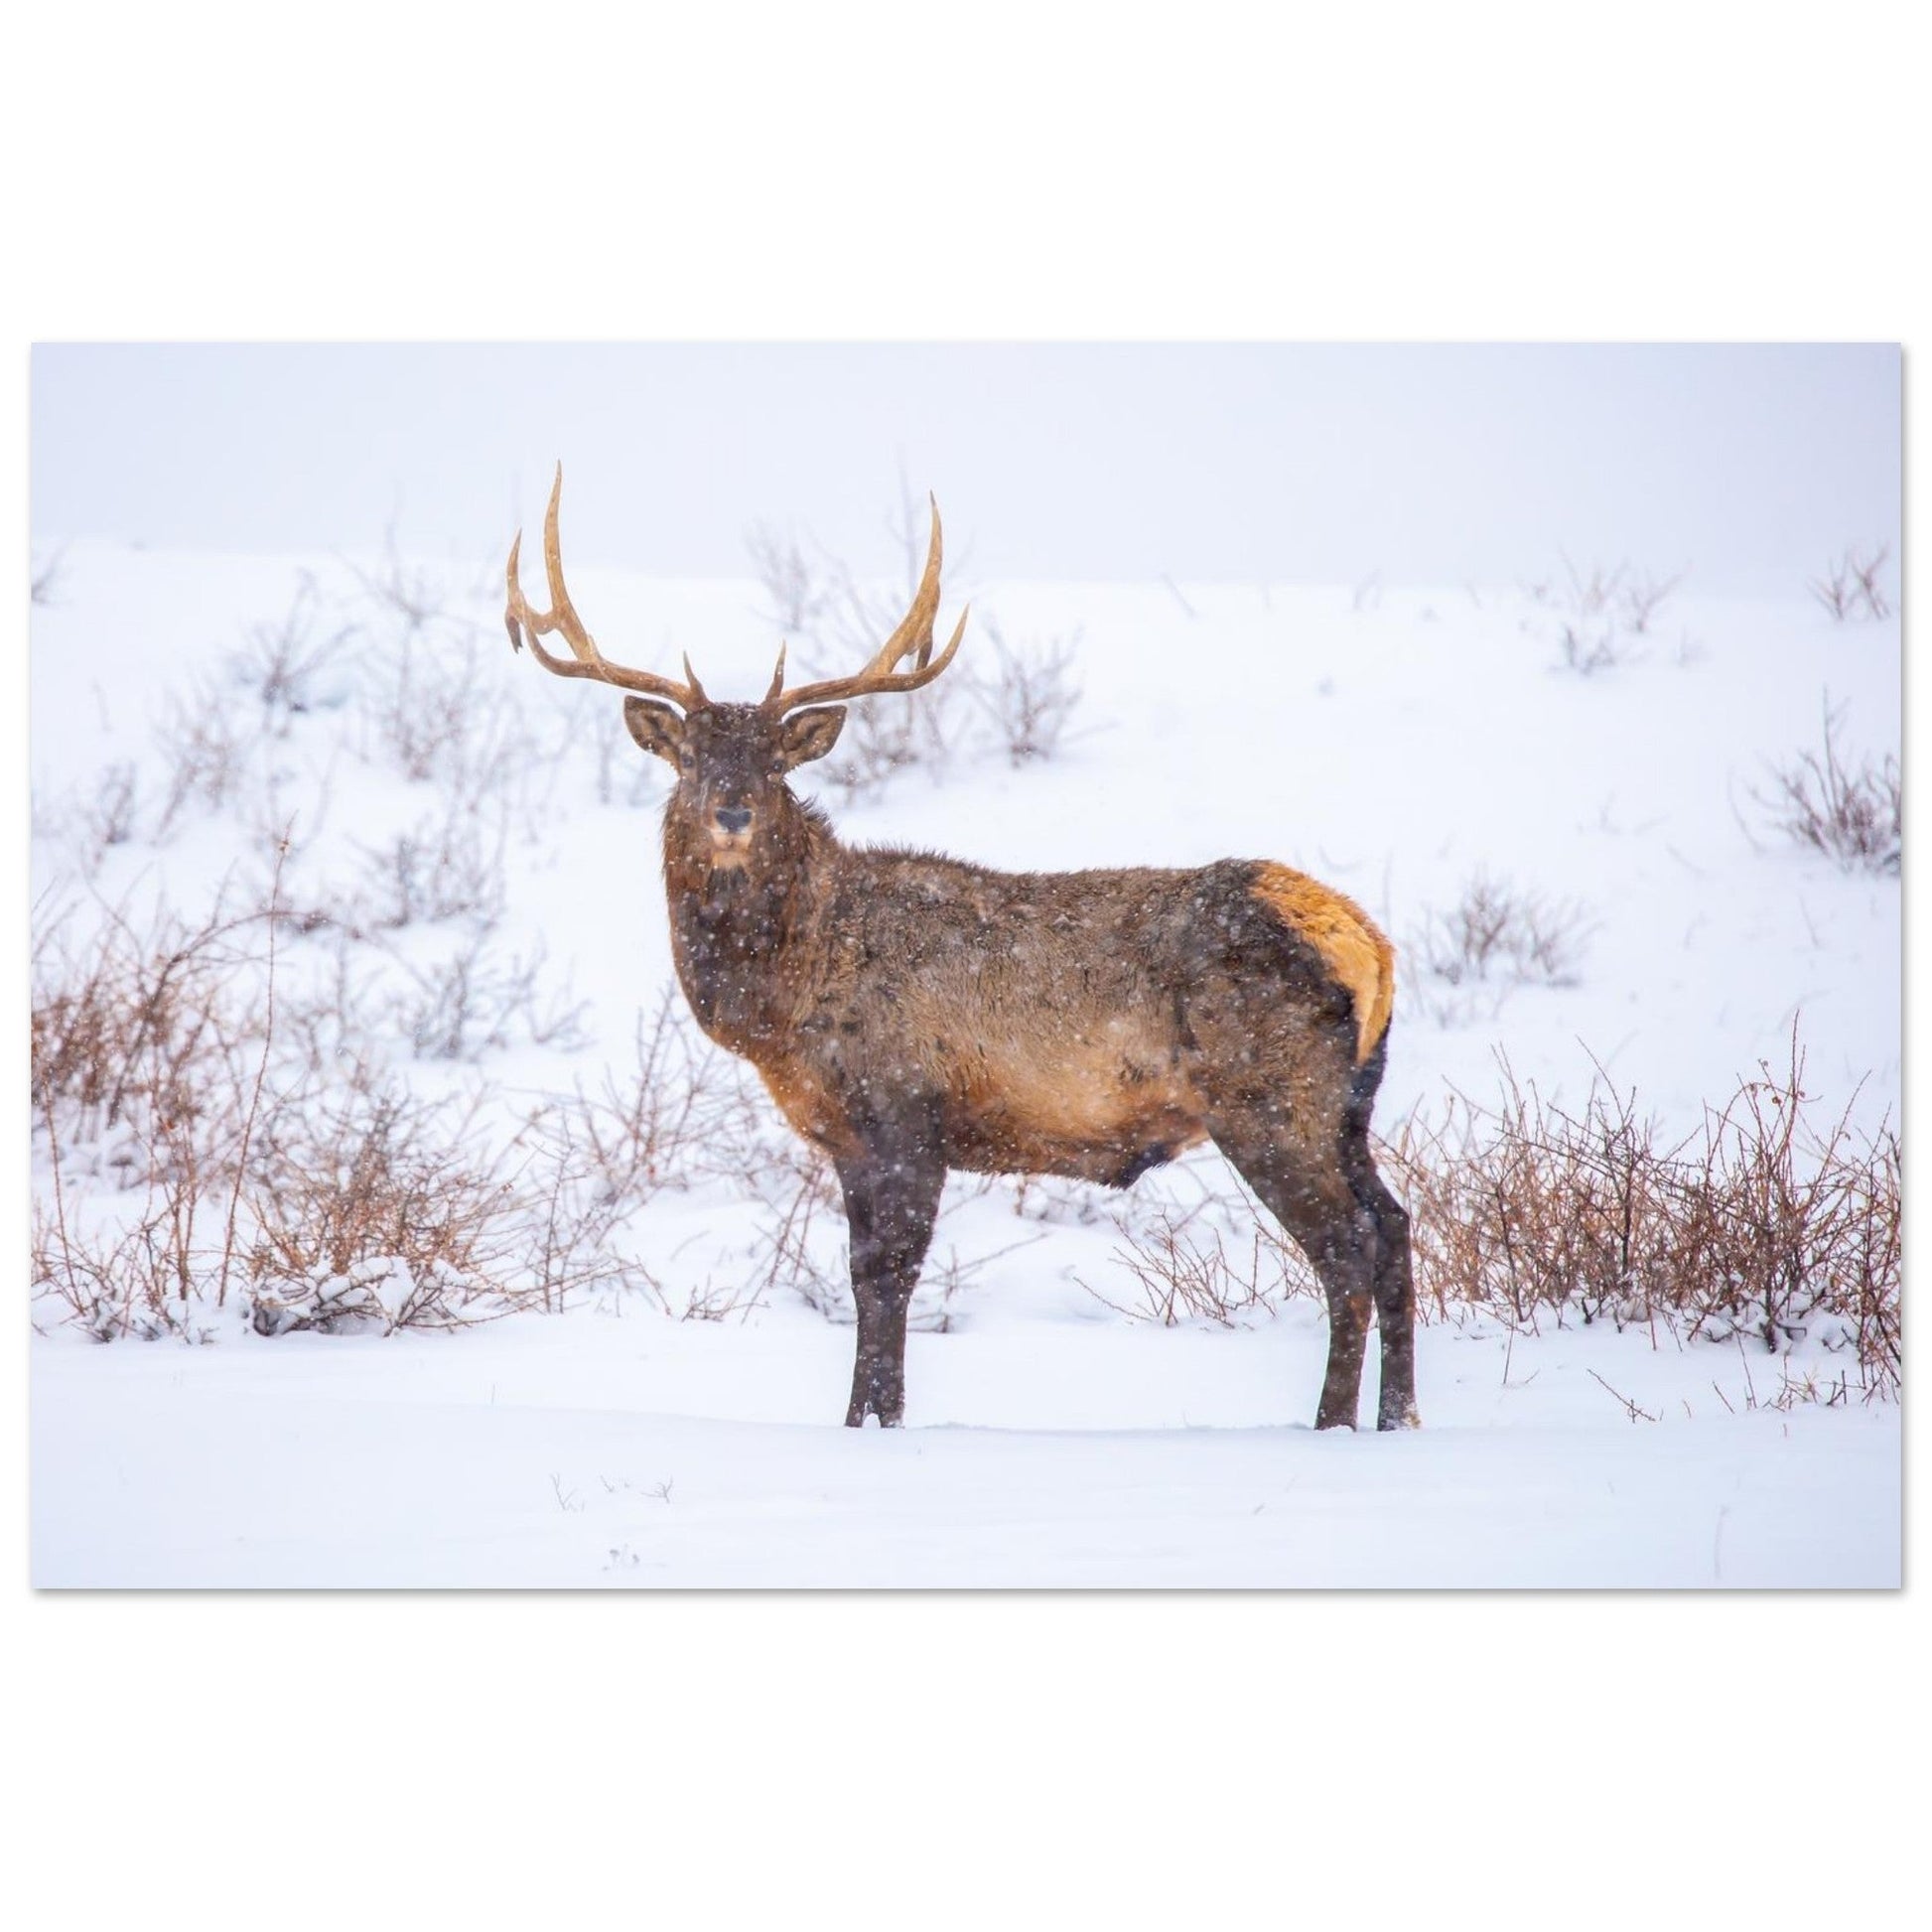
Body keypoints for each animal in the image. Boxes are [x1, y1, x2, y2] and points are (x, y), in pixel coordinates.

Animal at [505, 468, 1419, 1432]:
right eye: (687, 757)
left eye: (774, 762)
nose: (732, 809)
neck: (785, 1001)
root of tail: (1367, 943)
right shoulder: (849, 1135)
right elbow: (867, 1278)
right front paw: (867, 1419)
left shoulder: (907, 1107)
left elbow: (888, 1278)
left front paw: (874, 1419)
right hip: (1348, 1107)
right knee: (1395, 1229)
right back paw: (1399, 1419)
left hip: (1270, 1098)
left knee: (1347, 1250)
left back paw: (1330, 1426)